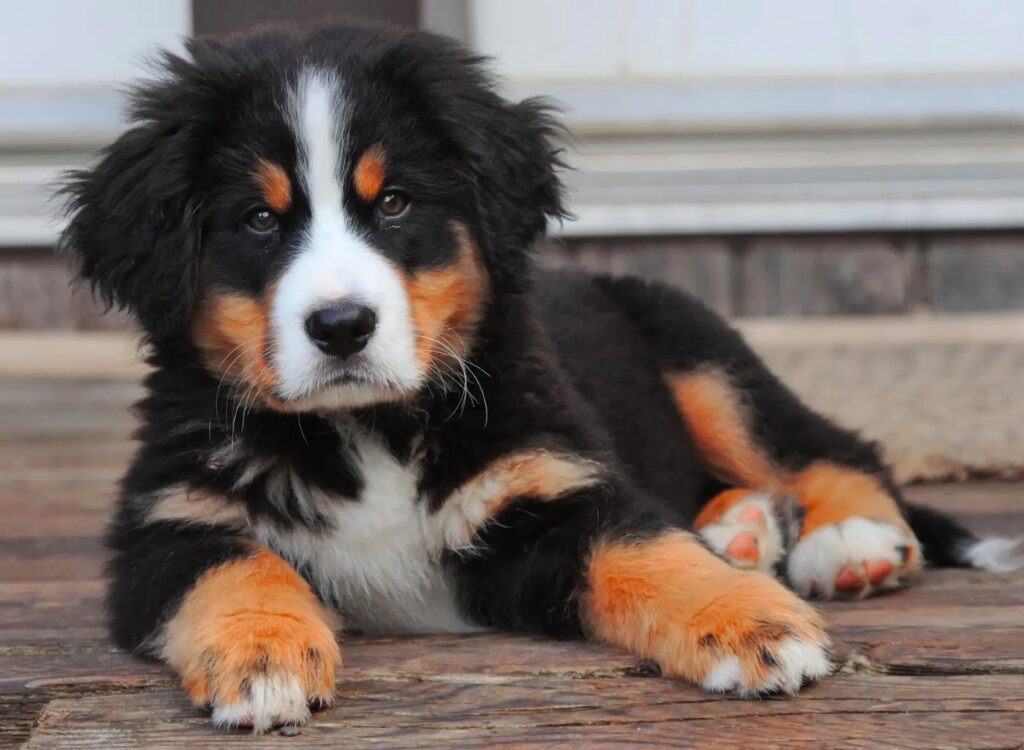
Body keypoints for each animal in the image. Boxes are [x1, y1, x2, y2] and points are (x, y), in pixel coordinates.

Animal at [59, 22, 1019, 733]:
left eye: (395, 203)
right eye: (259, 221)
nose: (341, 327)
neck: (370, 427)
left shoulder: (551, 483)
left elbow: (647, 550)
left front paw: (753, 622)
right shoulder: (168, 520)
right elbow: (234, 566)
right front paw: (262, 656)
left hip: (700, 351)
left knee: (829, 448)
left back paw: (846, 544)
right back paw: (744, 530)